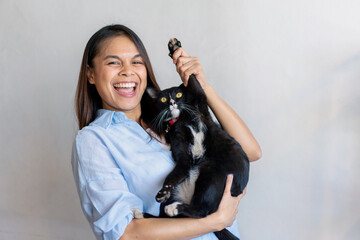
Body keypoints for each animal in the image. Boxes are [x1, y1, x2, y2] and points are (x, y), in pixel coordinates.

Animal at [148, 38, 249, 240]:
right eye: (163, 99)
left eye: (178, 95)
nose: (173, 103)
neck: (182, 119)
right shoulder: (182, 156)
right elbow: (174, 174)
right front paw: (163, 191)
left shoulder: (201, 102)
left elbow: (193, 81)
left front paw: (176, 50)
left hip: (212, 173)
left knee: (202, 212)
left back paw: (174, 209)